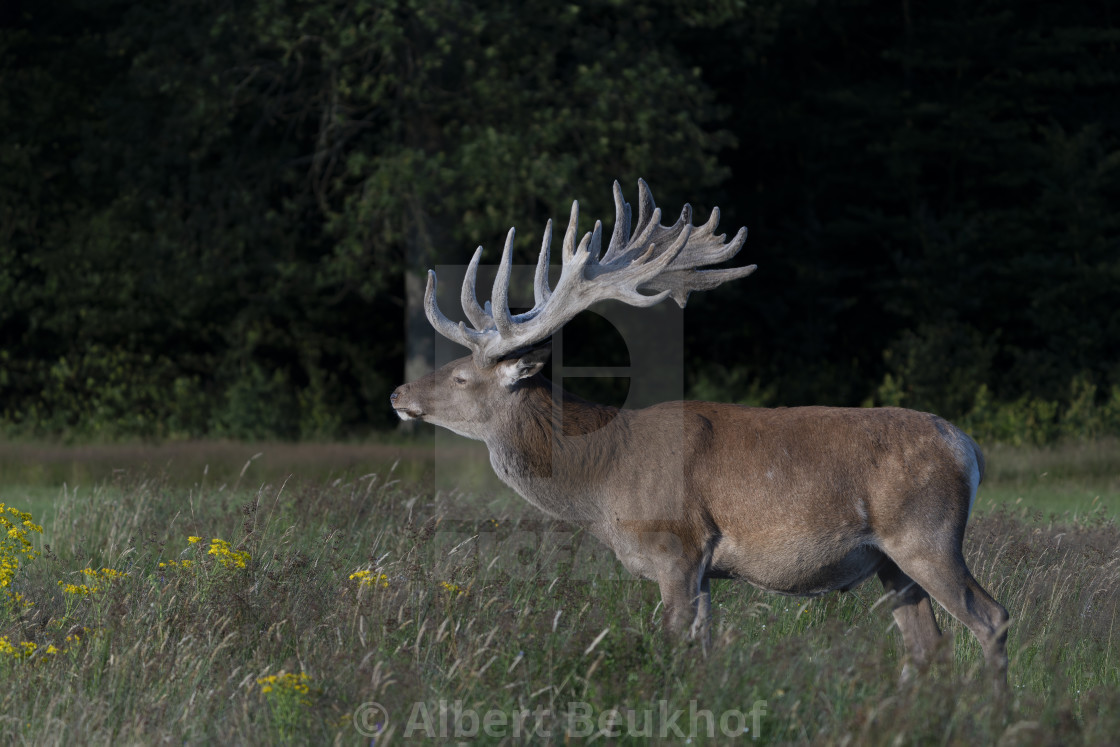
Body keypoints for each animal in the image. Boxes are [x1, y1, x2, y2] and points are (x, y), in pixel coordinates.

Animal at [389, 178, 1012, 685]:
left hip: (926, 535)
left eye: (463, 376)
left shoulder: (677, 546)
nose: (398, 395)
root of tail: (970, 449)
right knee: (926, 645)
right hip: (890, 563)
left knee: (992, 617)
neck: (603, 481)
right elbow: (704, 649)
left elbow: (674, 648)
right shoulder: (704, 568)